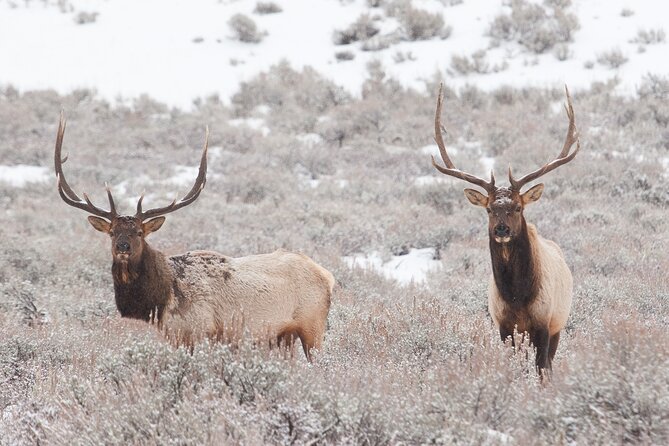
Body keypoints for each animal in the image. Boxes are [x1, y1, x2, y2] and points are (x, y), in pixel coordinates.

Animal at [54, 113, 334, 360]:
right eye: (112, 232)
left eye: (139, 233)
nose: (123, 246)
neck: (162, 300)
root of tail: (327, 276)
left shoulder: (199, 331)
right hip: (283, 335)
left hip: (313, 327)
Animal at [430, 85, 579, 377]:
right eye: (489, 209)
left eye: (518, 207)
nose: (501, 229)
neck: (517, 296)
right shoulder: (503, 325)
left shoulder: (544, 323)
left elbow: (542, 369)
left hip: (560, 322)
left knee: (550, 363)